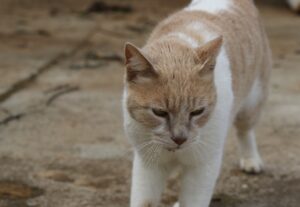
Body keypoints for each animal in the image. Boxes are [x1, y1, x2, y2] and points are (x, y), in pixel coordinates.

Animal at [122, 0, 272, 207]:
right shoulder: (148, 165)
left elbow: (192, 201)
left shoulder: (202, 166)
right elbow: (144, 201)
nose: (180, 138)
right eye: (159, 112)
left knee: (245, 129)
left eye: (197, 112)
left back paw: (251, 160)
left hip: (251, 104)